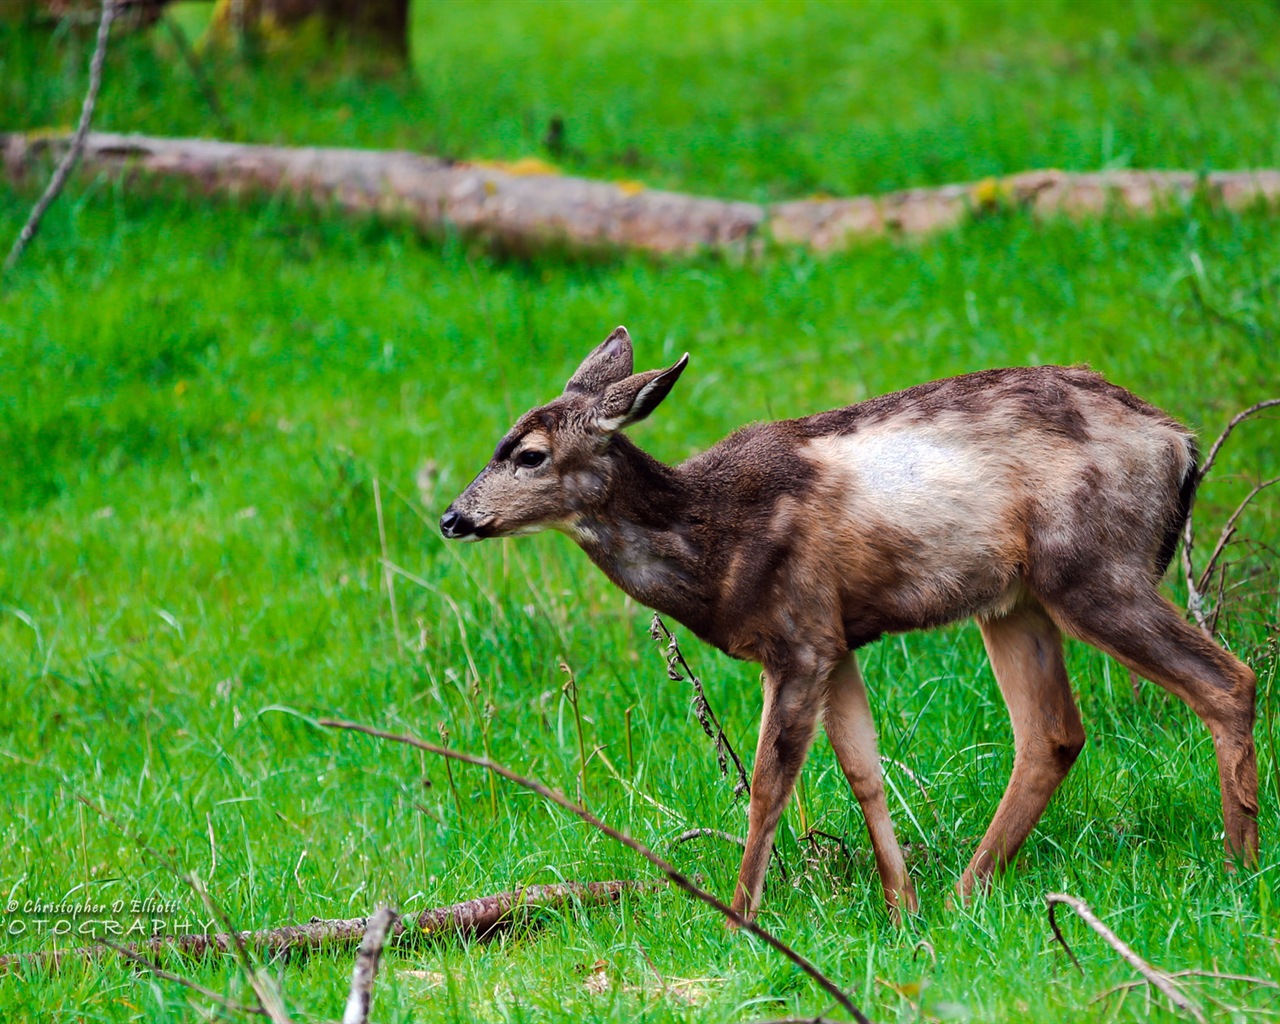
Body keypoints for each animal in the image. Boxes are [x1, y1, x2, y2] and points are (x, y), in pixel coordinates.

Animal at [440, 327, 1259, 921]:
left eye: (530, 454)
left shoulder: (799, 635)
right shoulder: (836, 640)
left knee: (1229, 680)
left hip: (1094, 570)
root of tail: (1179, 440)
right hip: (1017, 600)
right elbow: (864, 771)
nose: (452, 518)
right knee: (1052, 733)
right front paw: (902, 909)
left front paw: (740, 917)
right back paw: (963, 896)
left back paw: (1240, 868)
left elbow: (770, 782)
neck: (716, 542)